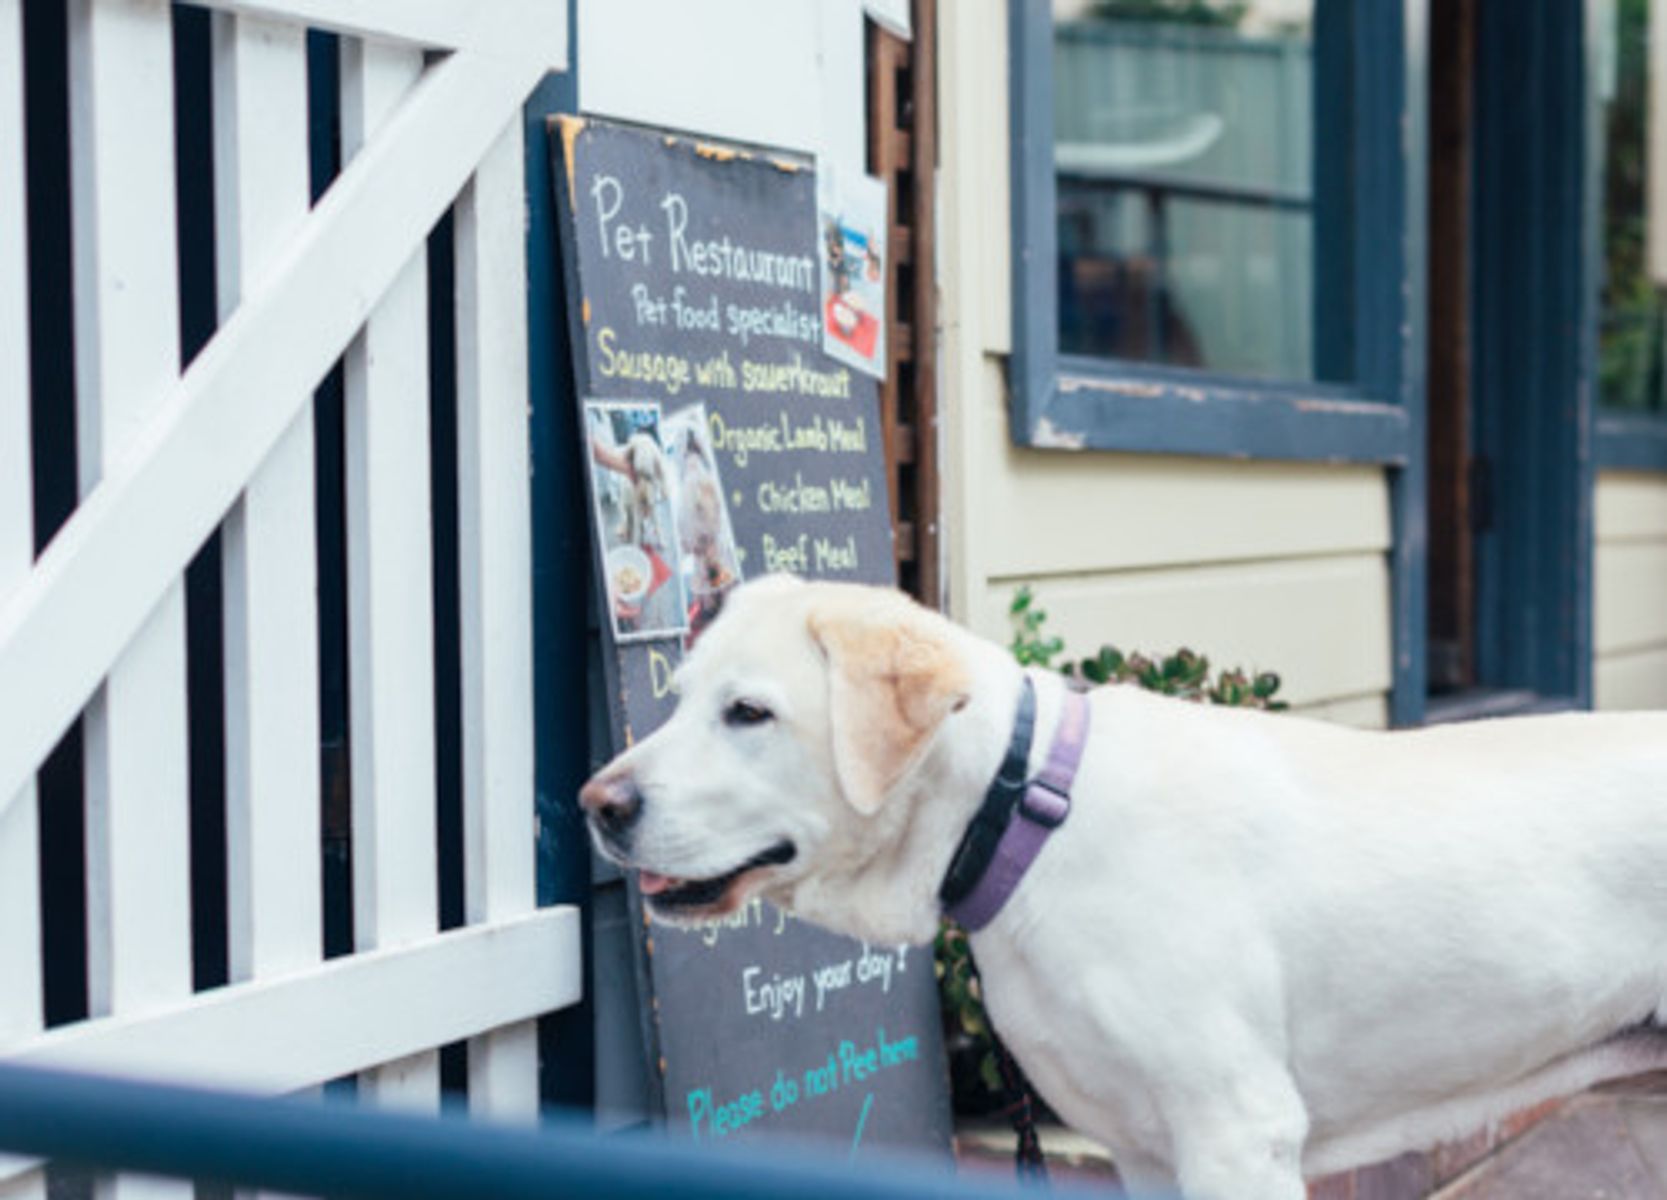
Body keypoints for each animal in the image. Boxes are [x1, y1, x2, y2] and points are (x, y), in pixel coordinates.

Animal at [576, 576, 1667, 1193]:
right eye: (677, 699)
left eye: (748, 713)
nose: (597, 803)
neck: (1024, 810)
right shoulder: (1142, 1149)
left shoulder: (1237, 1134)